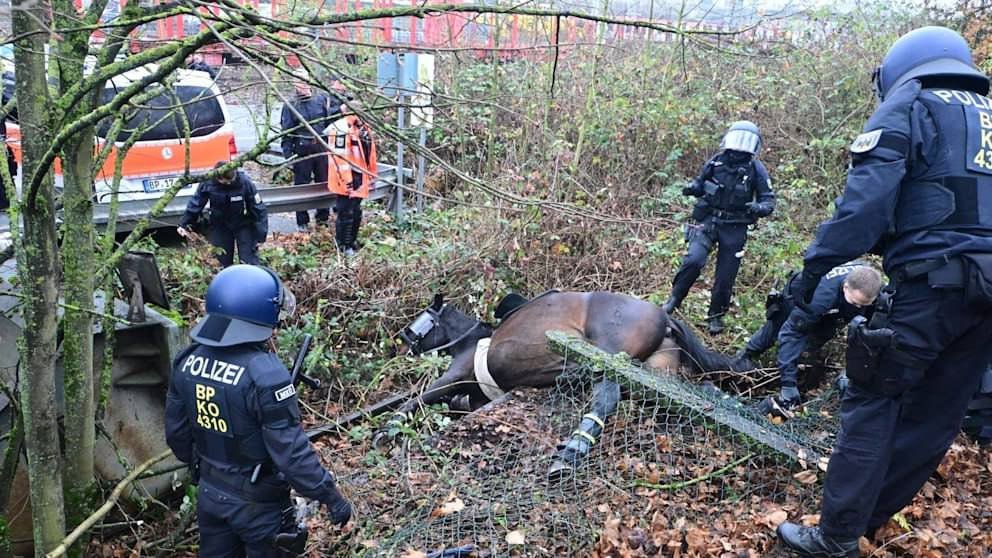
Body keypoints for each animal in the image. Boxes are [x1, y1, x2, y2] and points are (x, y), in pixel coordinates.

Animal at [374, 291, 739, 474]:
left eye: (418, 323)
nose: (401, 346)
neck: (472, 342)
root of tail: (664, 316)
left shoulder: (453, 376)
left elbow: (421, 398)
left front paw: (389, 428)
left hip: (608, 355)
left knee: (606, 395)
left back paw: (575, 447)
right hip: (658, 374)